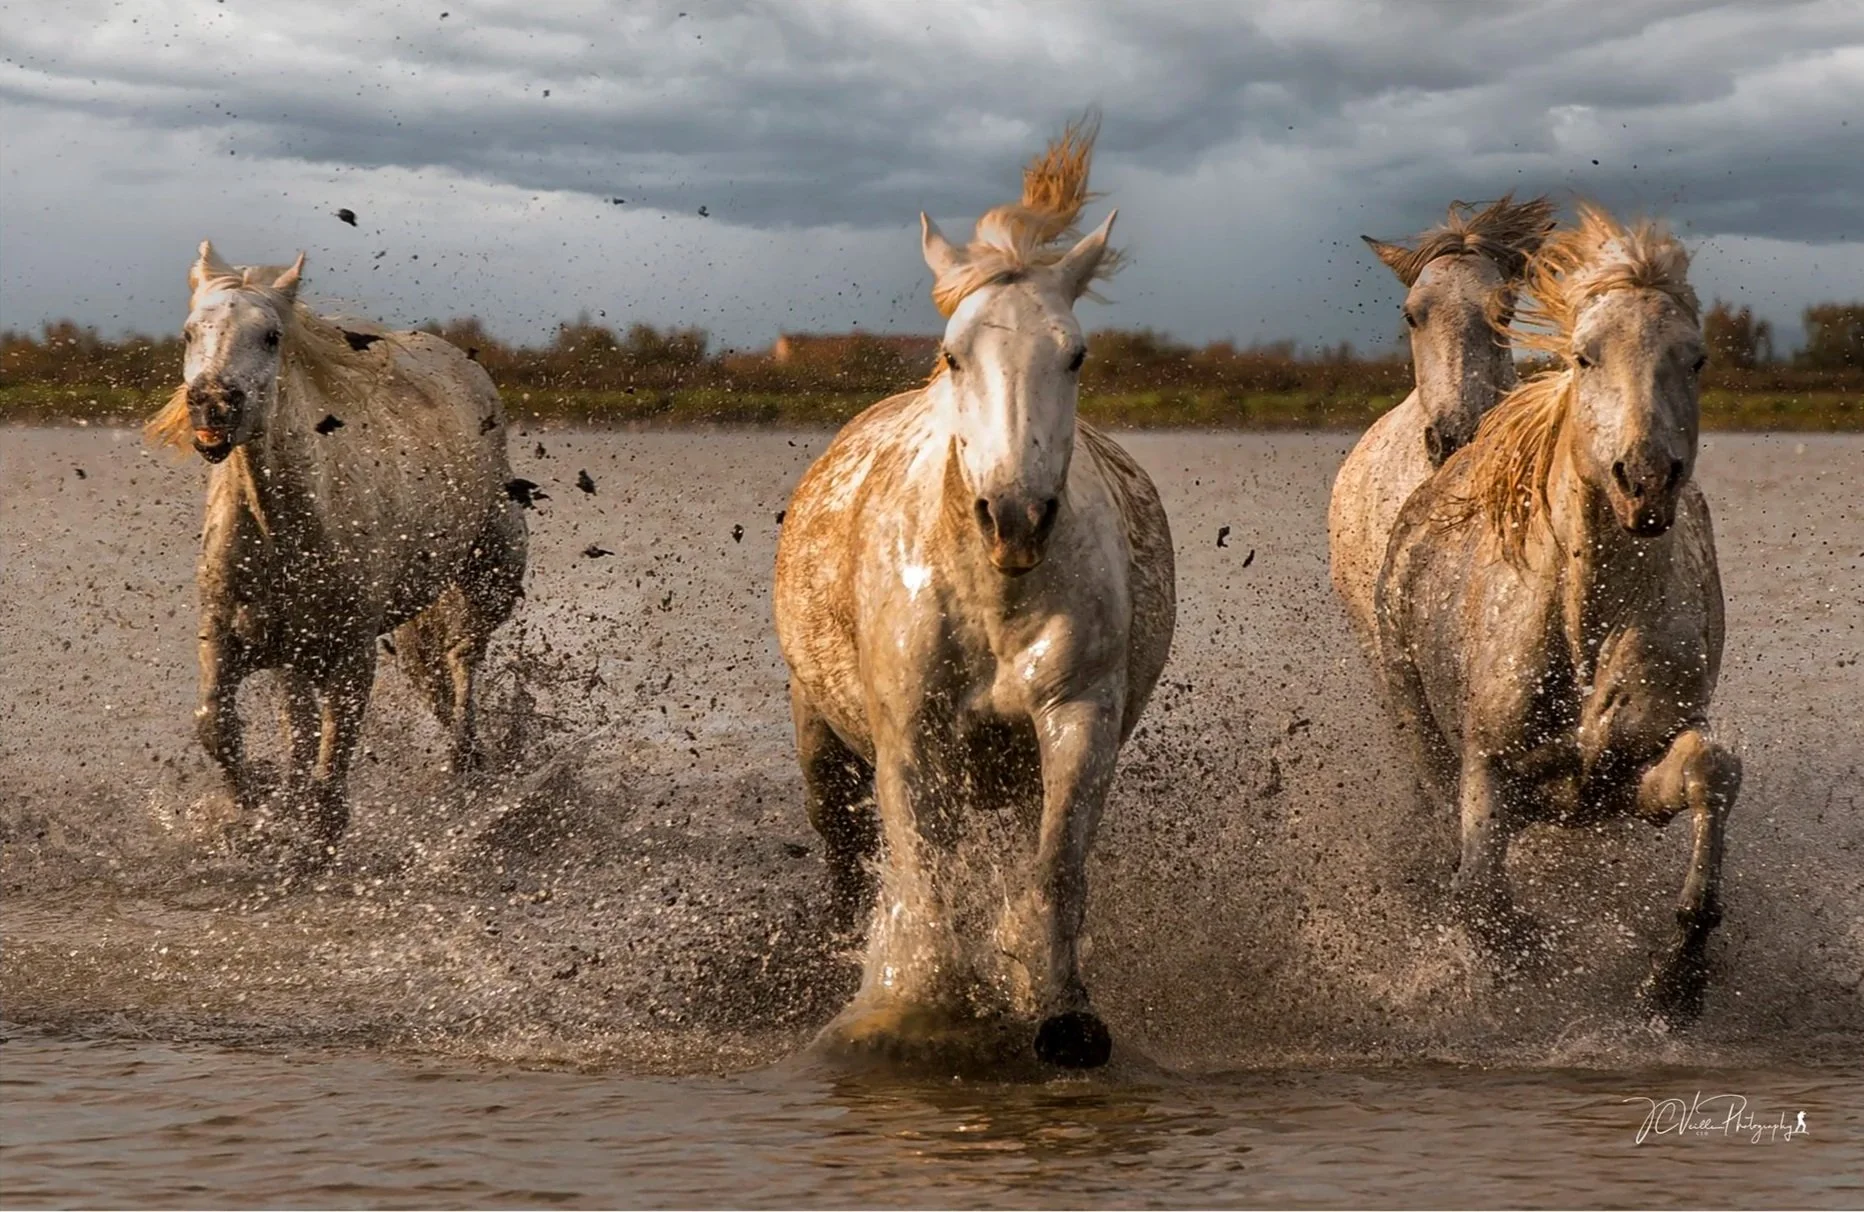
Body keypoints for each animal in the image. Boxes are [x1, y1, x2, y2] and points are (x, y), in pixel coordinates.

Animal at [148, 242, 527, 859]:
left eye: (271, 336)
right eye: (188, 333)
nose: (213, 404)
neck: (282, 535)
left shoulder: (351, 653)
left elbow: (331, 774)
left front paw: (313, 836)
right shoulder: (228, 635)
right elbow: (217, 726)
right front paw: (259, 801)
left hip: (488, 576)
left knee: (463, 662)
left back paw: (467, 758)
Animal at [772, 118, 1175, 1069]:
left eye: (1076, 354)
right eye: (955, 355)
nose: (1016, 517)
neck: (993, 599)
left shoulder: (1077, 716)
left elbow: (1055, 870)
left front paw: (1063, 1016)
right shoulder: (910, 737)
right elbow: (922, 875)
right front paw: (918, 1013)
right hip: (822, 739)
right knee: (849, 863)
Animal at [1376, 205, 1739, 1025]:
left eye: (1696, 359)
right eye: (1584, 356)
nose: (1646, 480)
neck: (1584, 631)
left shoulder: (1623, 775)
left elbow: (1713, 770)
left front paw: (1675, 978)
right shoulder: (1488, 770)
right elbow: (1482, 899)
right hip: (1414, 718)